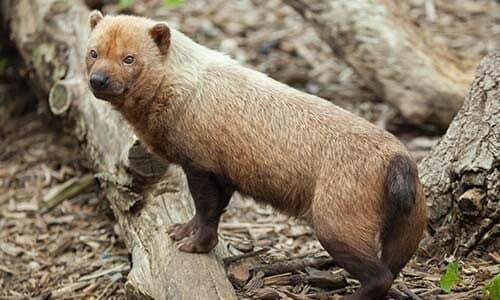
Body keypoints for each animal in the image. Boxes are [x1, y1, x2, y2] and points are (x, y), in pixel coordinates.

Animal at [85, 11, 426, 300]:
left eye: (129, 58)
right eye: (93, 52)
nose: (98, 80)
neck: (184, 89)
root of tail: (397, 160)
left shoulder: (201, 164)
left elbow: (207, 209)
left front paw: (194, 244)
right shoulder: (222, 173)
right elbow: (211, 209)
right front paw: (181, 230)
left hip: (335, 224)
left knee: (379, 276)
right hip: (407, 228)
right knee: (393, 268)